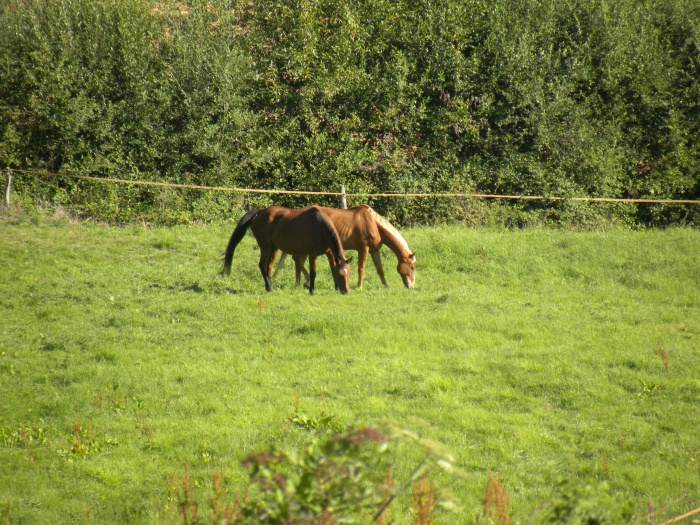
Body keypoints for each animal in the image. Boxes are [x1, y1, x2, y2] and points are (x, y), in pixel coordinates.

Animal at [223, 206, 352, 294]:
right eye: (341, 275)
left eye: (349, 273)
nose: (346, 292)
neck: (320, 227)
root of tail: (261, 211)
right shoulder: (312, 254)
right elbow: (313, 273)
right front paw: (311, 290)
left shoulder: (330, 253)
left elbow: (332, 269)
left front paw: (336, 288)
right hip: (265, 246)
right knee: (262, 265)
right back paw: (269, 287)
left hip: (274, 248)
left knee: (268, 266)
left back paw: (268, 286)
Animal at [274, 204, 416, 288]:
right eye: (412, 267)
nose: (411, 286)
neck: (373, 223)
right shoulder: (363, 248)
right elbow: (361, 268)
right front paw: (359, 286)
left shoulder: (374, 250)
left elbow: (380, 269)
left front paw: (386, 286)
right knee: (297, 260)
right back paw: (305, 282)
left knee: (297, 261)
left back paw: (299, 283)